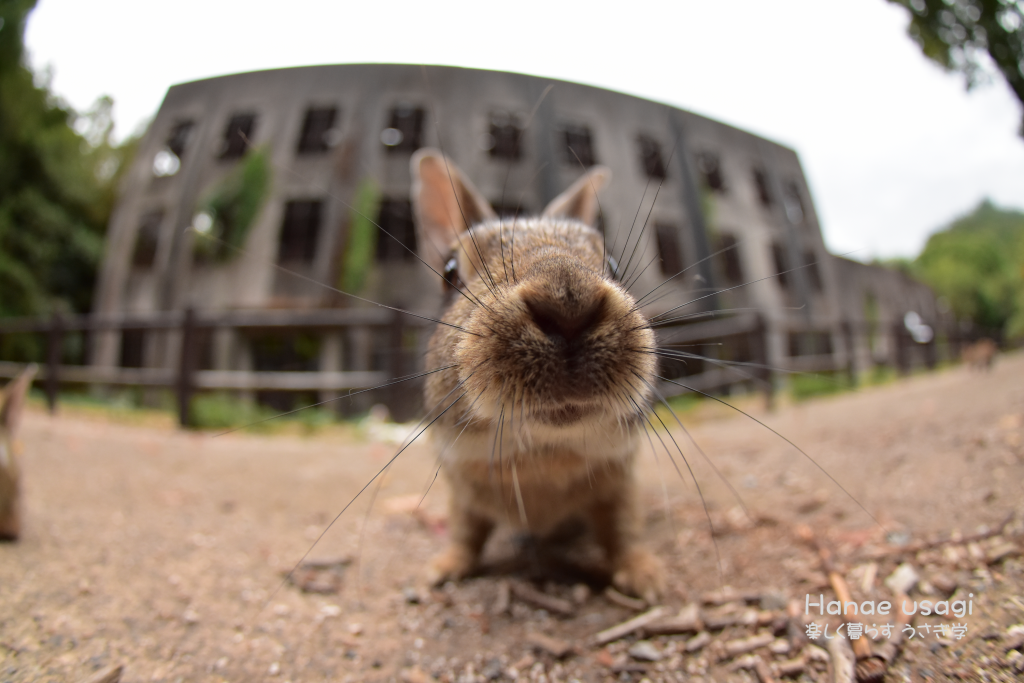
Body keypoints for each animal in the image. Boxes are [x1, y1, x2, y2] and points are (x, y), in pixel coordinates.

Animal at [411, 147, 667, 602]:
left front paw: (646, 577)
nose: (569, 304)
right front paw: (440, 570)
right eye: (450, 272)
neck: (543, 450)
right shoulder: (461, 490)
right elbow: (465, 533)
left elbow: (622, 531)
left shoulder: (620, 482)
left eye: (614, 264)